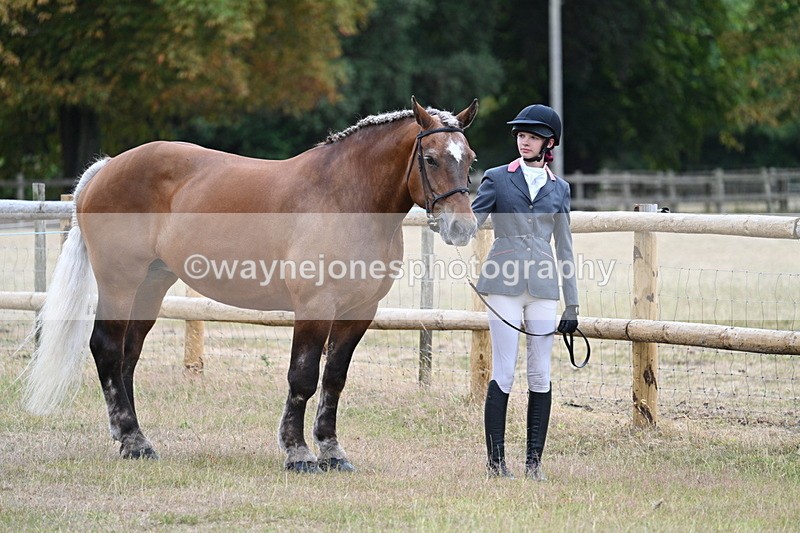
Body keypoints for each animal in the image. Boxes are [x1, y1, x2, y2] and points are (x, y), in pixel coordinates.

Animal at [23, 97, 479, 472]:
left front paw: (332, 452)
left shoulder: (358, 313)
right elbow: (303, 377)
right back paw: (134, 441)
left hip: (150, 287)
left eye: (470, 159)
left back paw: (130, 439)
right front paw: (298, 453)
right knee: (105, 348)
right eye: (431, 158)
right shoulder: (314, 308)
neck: (346, 198)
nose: (462, 228)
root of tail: (107, 168)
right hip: (120, 282)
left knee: (126, 357)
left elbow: (334, 379)